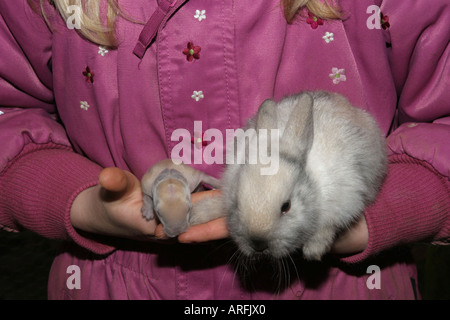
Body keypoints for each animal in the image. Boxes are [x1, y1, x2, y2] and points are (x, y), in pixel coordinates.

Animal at [200, 91, 386, 262]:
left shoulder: (344, 200)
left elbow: (327, 227)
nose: (258, 244)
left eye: (286, 206)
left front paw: (313, 251)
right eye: (237, 203)